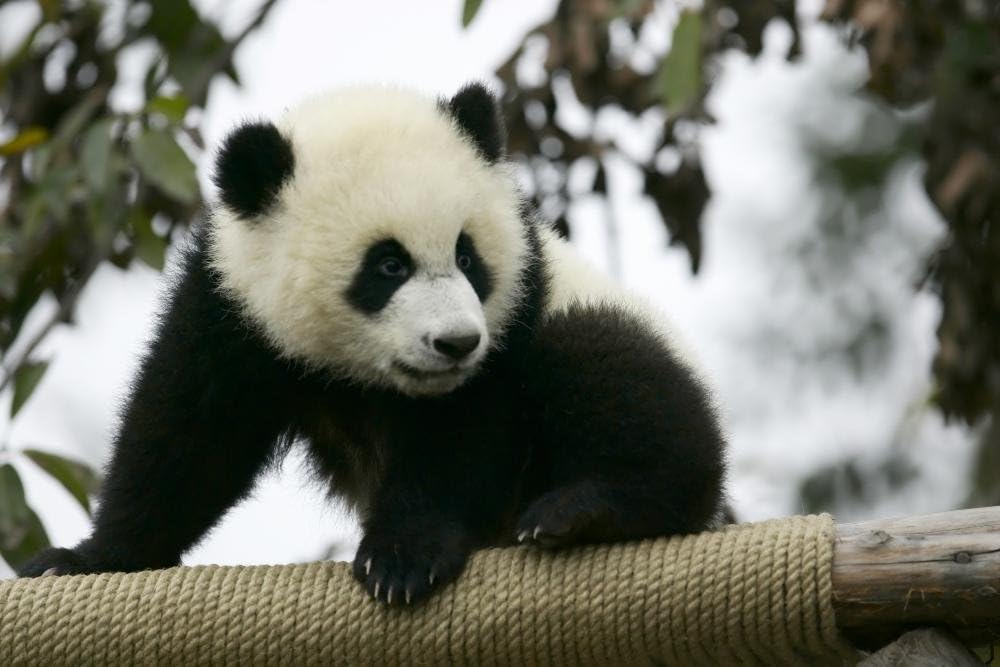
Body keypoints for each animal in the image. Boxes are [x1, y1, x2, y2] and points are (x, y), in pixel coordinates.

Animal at [19, 83, 728, 605]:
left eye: (467, 256)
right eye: (388, 265)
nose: (456, 343)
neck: (366, 376)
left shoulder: (517, 310)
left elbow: (463, 436)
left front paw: (402, 558)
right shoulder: (235, 309)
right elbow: (185, 438)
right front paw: (85, 560)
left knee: (620, 381)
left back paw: (586, 509)